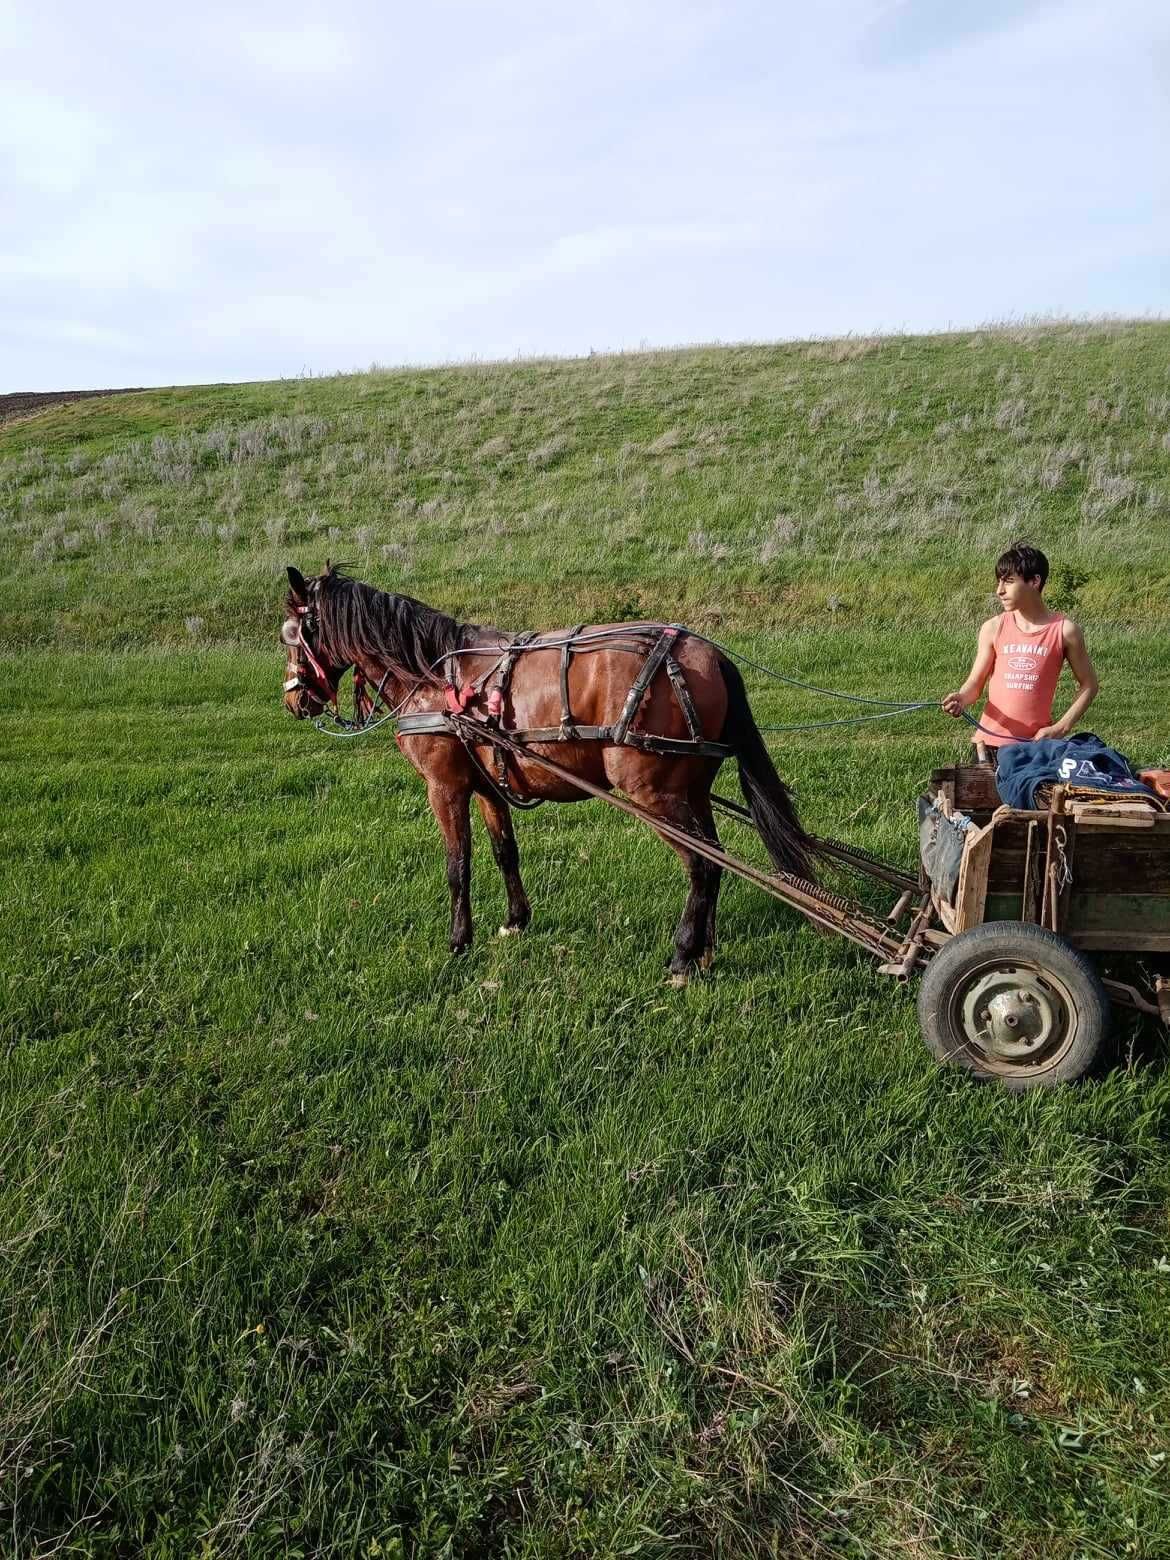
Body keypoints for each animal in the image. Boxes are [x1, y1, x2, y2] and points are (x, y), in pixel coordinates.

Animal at [283, 561, 817, 979]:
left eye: (291, 634)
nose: (293, 700)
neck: (434, 679)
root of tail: (710, 656)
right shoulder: (488, 786)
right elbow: (505, 852)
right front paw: (516, 920)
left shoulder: (445, 786)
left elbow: (458, 865)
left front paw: (458, 942)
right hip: (692, 791)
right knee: (714, 859)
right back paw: (705, 950)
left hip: (653, 794)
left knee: (703, 865)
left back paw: (683, 958)